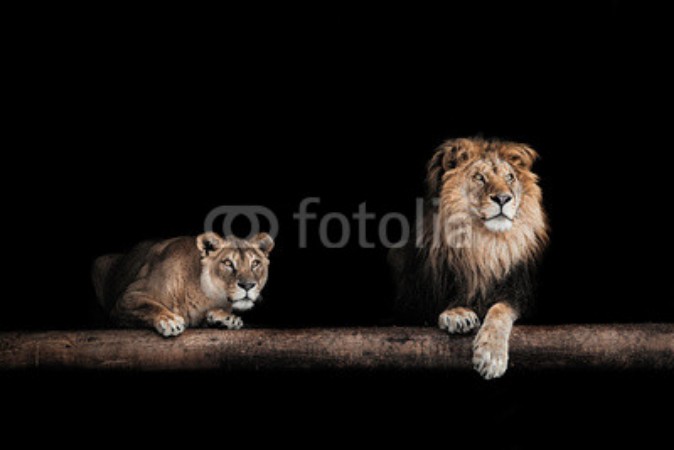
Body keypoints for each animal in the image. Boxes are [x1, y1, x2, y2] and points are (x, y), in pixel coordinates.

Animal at [92, 232, 274, 337]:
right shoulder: (127, 297)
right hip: (99, 262)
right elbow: (150, 305)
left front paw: (225, 318)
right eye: (228, 263)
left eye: (255, 263)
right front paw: (169, 320)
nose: (248, 285)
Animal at [389, 137, 549, 379]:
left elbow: (500, 309)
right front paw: (458, 314)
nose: (503, 198)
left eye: (509, 177)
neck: (484, 245)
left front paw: (491, 356)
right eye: (479, 177)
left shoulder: (520, 293)